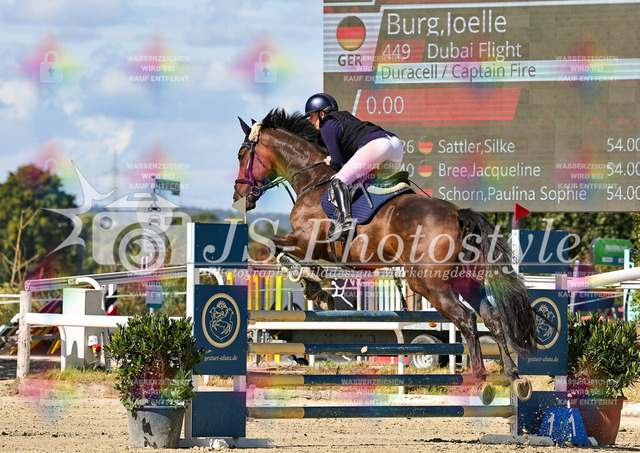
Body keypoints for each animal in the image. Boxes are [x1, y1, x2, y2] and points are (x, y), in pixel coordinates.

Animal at [233, 108, 537, 405]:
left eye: (241, 154)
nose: (239, 196)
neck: (312, 181)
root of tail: (458, 214)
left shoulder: (308, 241)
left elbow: (275, 247)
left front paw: (310, 282)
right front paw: (317, 286)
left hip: (428, 283)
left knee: (467, 320)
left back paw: (482, 381)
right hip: (464, 280)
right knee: (492, 317)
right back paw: (515, 377)